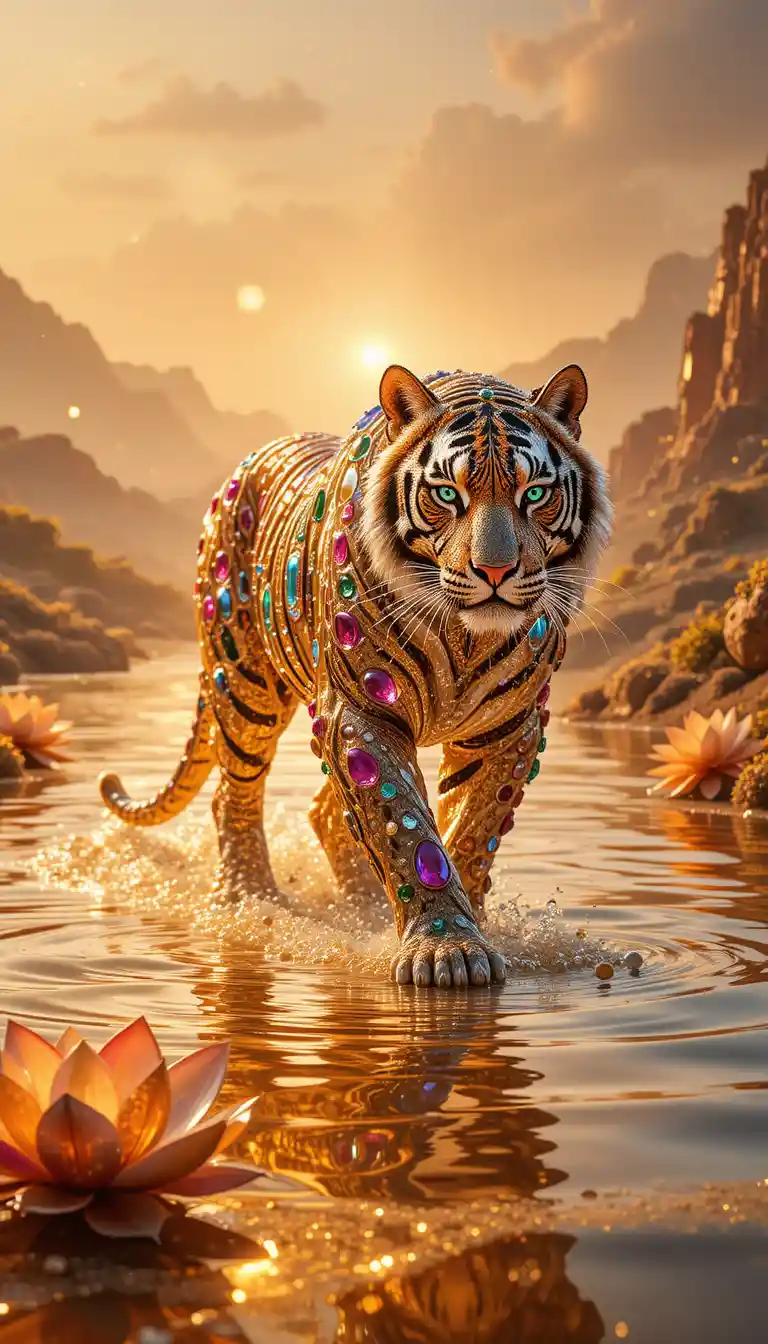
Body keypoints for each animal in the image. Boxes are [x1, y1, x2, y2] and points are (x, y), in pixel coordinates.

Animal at [99, 363, 611, 989]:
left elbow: (472, 831)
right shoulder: (360, 710)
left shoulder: (509, 729)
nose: (494, 571)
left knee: (323, 812)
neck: (466, 636)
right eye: (448, 494)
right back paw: (251, 900)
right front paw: (446, 949)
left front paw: (471, 929)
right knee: (233, 794)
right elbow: (409, 830)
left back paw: (362, 910)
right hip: (244, 686)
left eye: (534, 493)